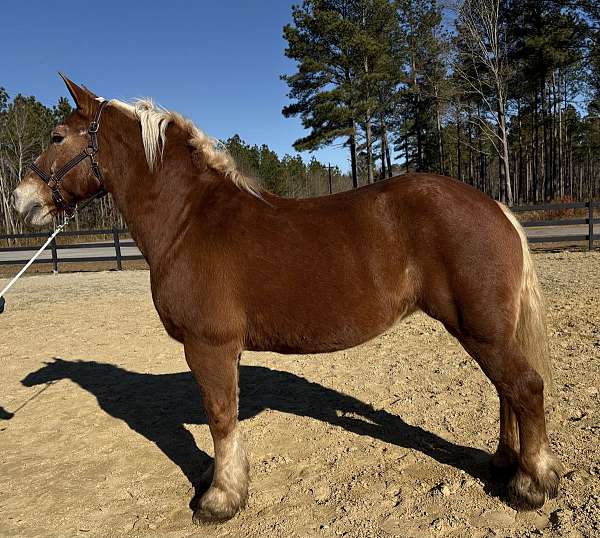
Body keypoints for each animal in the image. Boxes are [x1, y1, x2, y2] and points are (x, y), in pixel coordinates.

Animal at [10, 75, 564, 520]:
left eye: (57, 137)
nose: (21, 200)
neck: (190, 220)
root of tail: (493, 206)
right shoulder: (221, 351)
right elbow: (226, 416)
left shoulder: (208, 346)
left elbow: (219, 416)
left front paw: (220, 500)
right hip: (487, 332)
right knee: (506, 392)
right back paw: (504, 464)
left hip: (482, 330)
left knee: (525, 388)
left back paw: (532, 484)